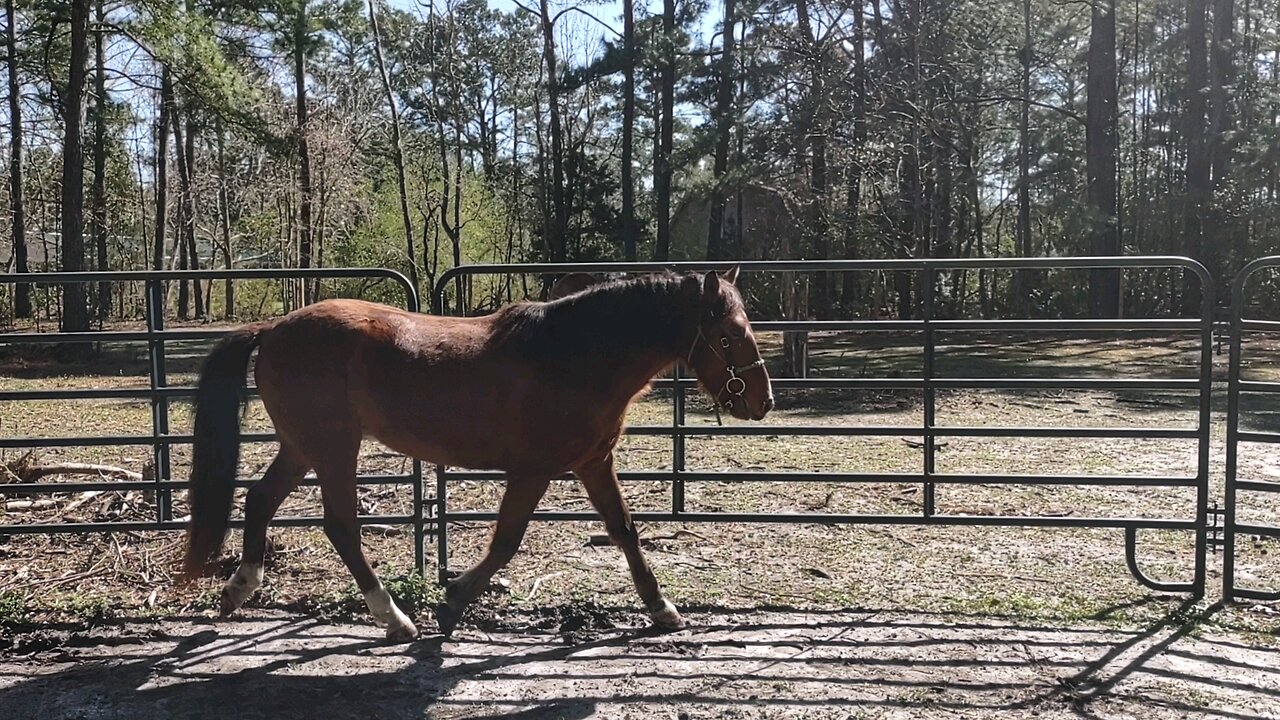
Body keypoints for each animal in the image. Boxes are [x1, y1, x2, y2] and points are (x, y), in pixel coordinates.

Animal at [181, 266, 773, 635]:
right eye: (730, 333)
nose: (762, 401)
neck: (574, 355)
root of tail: (273, 327)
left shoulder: (593, 463)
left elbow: (624, 531)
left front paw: (662, 608)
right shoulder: (533, 471)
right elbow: (507, 541)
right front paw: (451, 603)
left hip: (303, 448)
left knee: (260, 500)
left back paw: (238, 589)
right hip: (333, 450)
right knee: (341, 526)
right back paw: (394, 618)